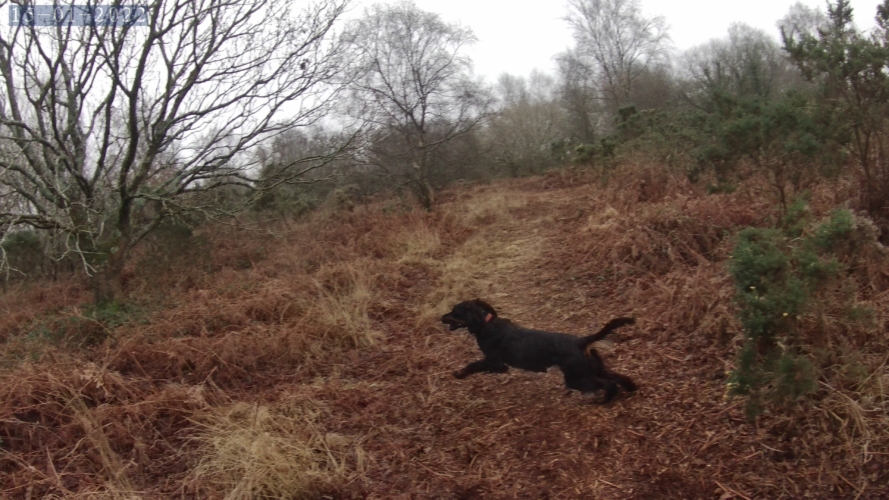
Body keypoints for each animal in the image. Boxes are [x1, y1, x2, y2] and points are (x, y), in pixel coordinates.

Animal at [440, 300, 636, 402]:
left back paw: (603, 401)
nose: (441, 317)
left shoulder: (495, 362)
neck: (485, 324)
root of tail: (580, 341)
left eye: (455, 312)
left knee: (609, 383)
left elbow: (473, 365)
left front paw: (460, 374)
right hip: (588, 369)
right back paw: (631, 387)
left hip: (576, 378)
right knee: (616, 376)